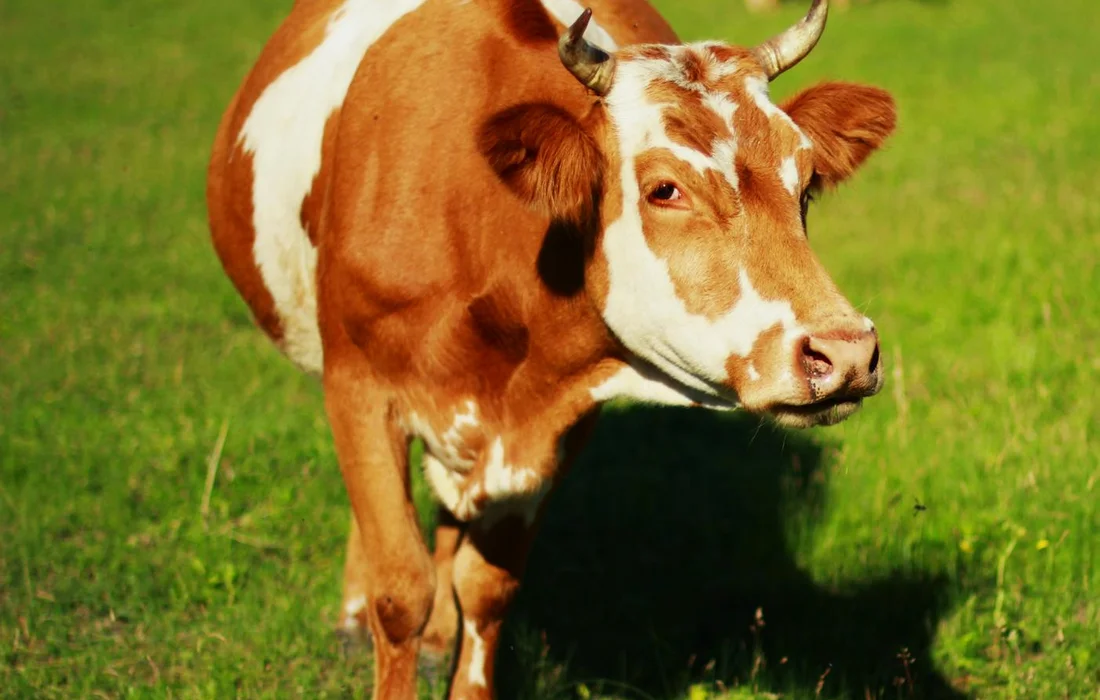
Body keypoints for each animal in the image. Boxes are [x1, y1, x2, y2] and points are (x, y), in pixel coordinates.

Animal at [206, 0, 895, 696]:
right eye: (665, 189)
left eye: (806, 184)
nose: (845, 352)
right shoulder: (358, 388)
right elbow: (399, 589)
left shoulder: (552, 426)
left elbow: (485, 589)